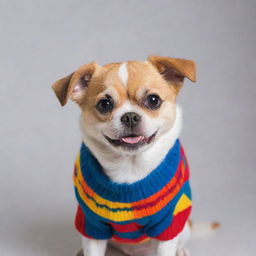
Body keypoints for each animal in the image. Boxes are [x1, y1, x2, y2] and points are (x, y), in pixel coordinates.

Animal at [51, 56, 210, 256]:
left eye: (153, 100)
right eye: (104, 104)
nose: (130, 116)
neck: (130, 167)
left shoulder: (168, 224)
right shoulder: (92, 225)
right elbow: (93, 250)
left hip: (184, 227)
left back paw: (181, 251)